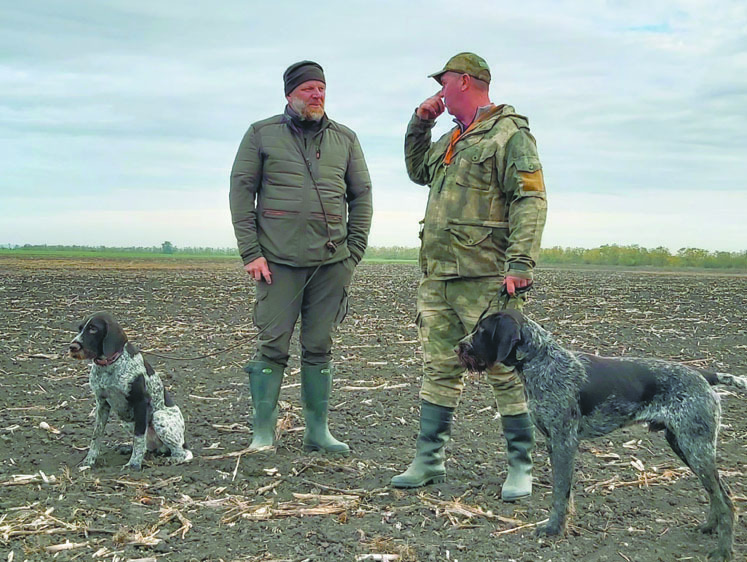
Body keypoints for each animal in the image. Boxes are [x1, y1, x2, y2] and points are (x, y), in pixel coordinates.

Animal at [69, 310, 193, 468]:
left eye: (93, 329)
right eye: (80, 329)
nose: (72, 347)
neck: (109, 365)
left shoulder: (141, 403)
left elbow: (139, 437)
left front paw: (133, 465)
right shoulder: (101, 404)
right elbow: (96, 435)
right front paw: (88, 461)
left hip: (158, 417)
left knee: (183, 453)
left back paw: (170, 459)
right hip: (127, 419)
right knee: (148, 447)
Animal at [456, 308, 744, 560]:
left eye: (482, 331)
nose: (458, 347)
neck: (541, 361)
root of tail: (703, 374)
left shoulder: (564, 441)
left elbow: (560, 492)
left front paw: (553, 529)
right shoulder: (552, 442)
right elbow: (565, 492)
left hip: (695, 447)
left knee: (726, 500)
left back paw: (723, 551)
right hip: (684, 445)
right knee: (719, 492)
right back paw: (710, 527)